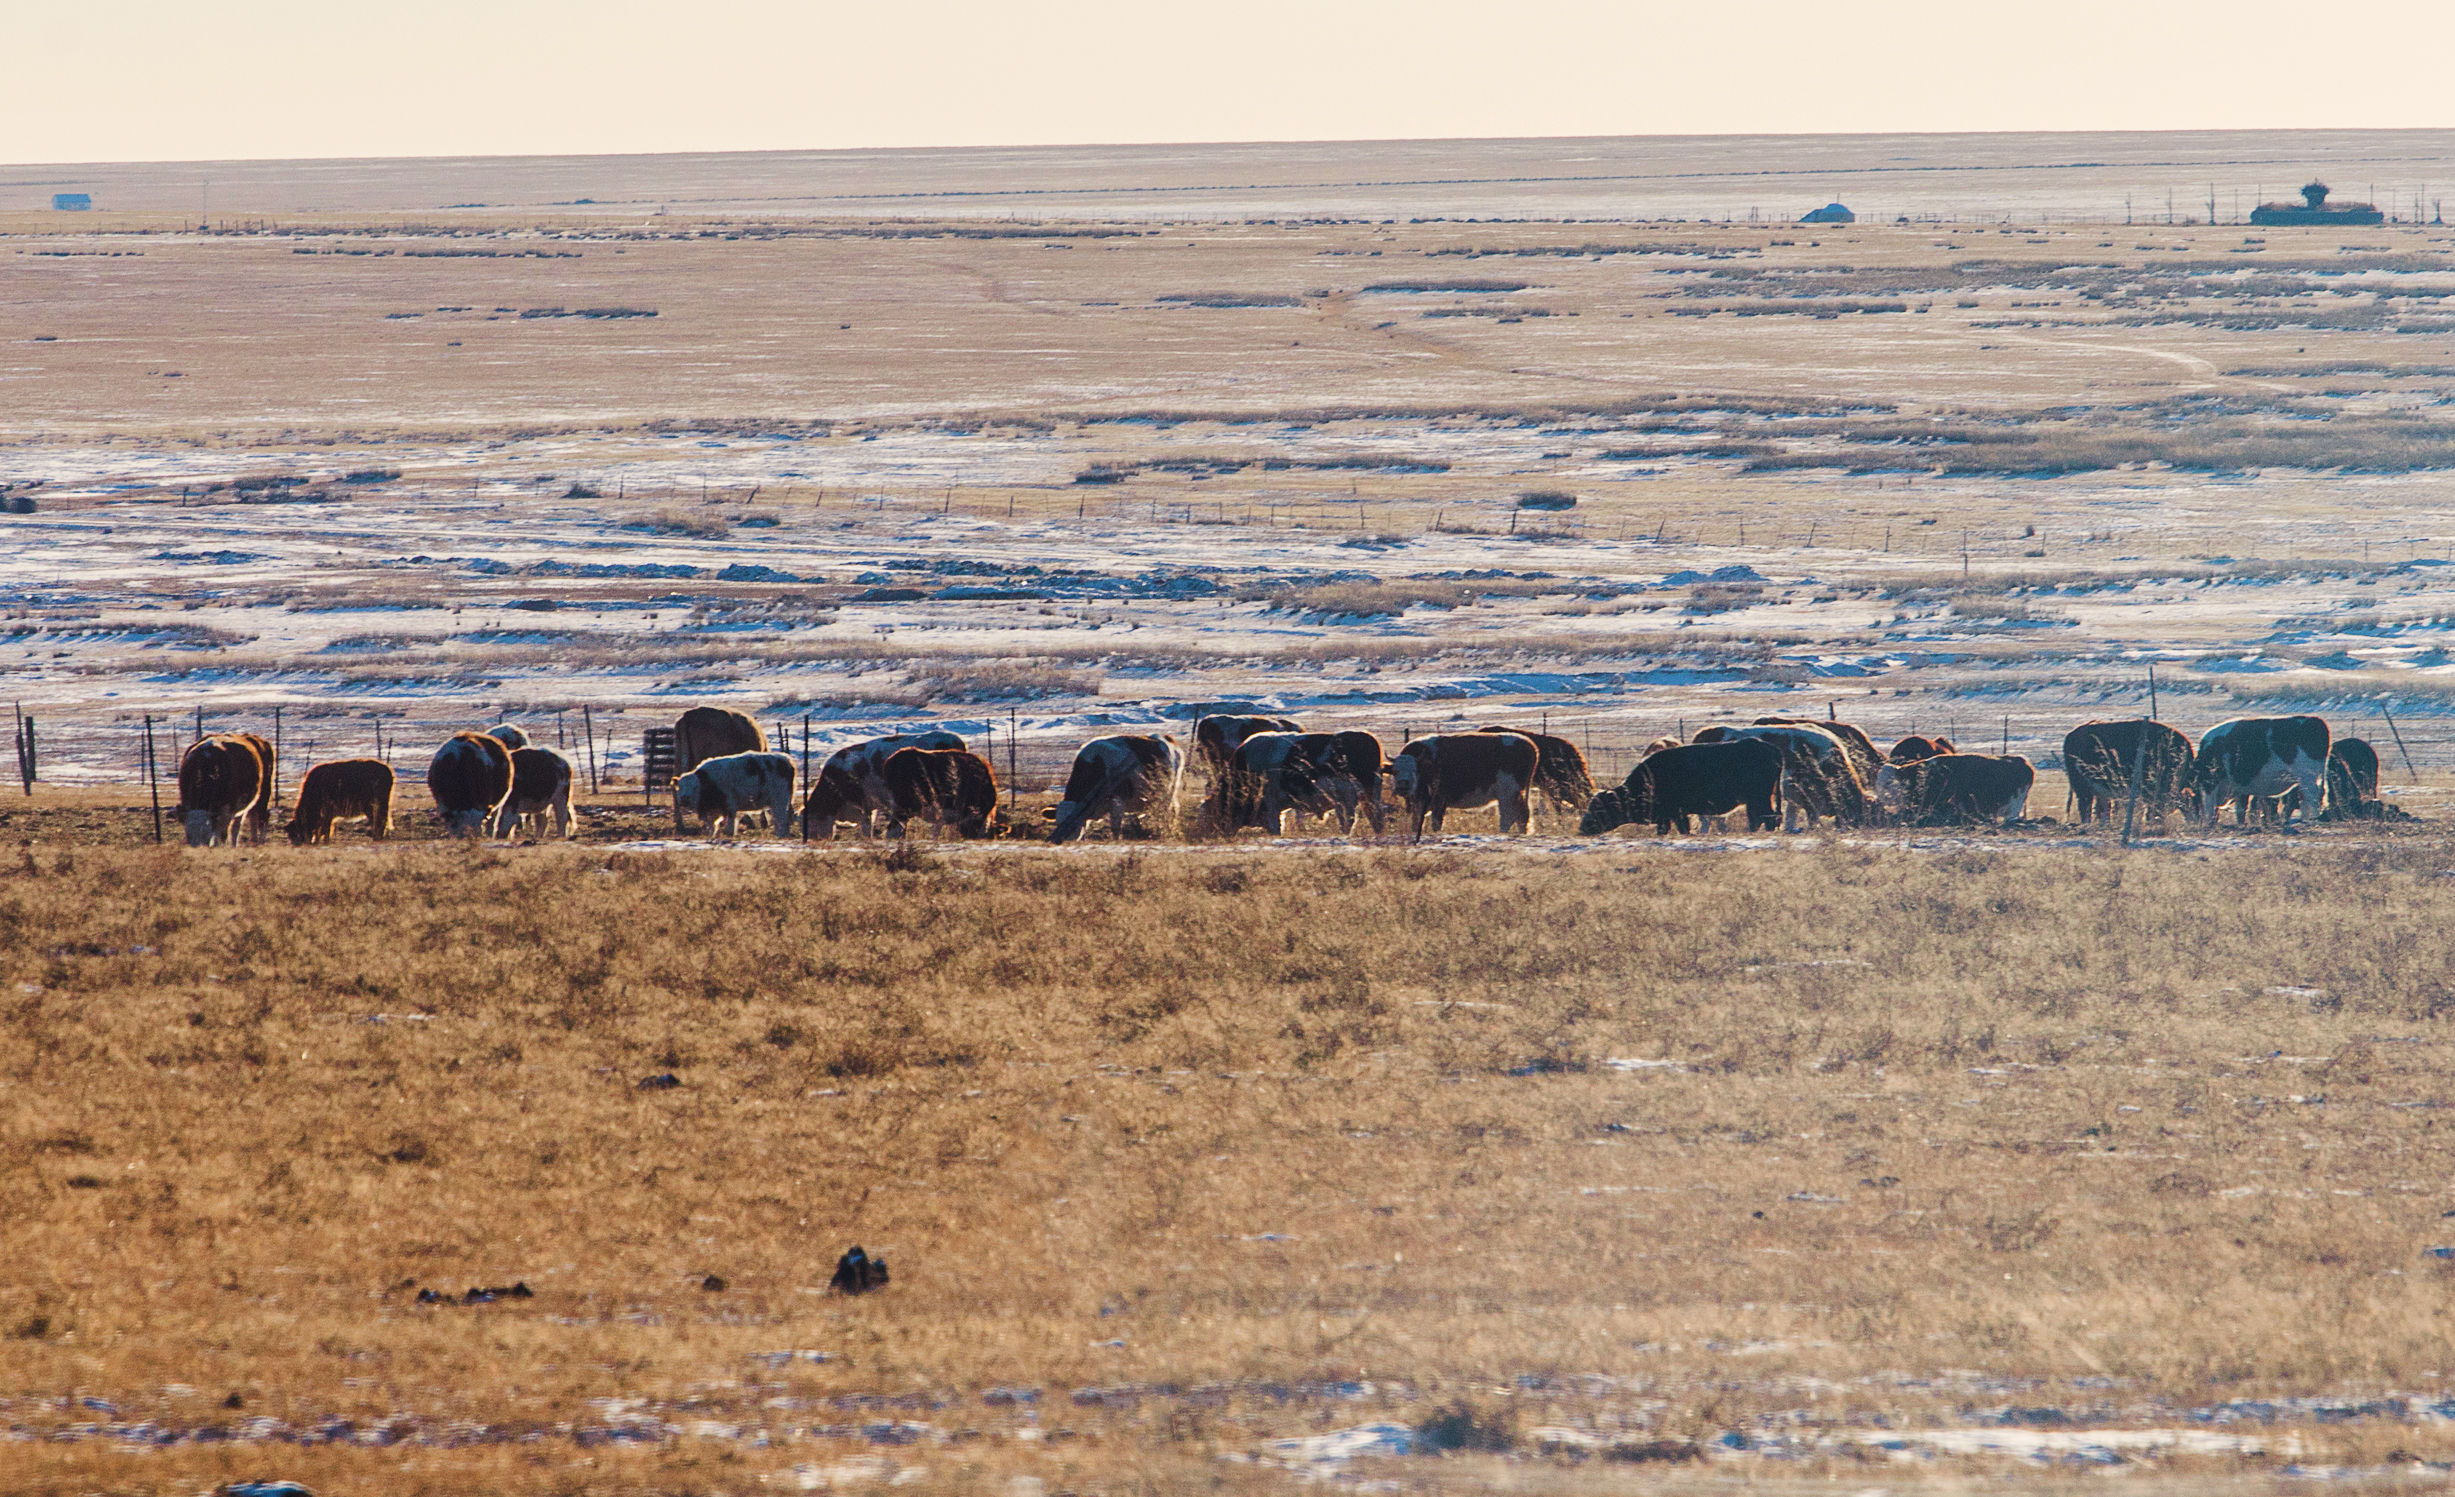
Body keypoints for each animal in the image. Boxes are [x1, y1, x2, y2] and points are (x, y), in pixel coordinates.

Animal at [1394, 731, 1522, 839]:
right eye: (1395, 771)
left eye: (1414, 770)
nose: (1403, 785)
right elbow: (1416, 821)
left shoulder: (1439, 801)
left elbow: (1436, 822)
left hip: (1507, 797)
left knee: (1508, 818)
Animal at [2199, 711, 2327, 829]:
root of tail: (2316, 720)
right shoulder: (2240, 787)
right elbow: (2241, 809)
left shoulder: (2212, 783)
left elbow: (2211, 807)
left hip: (2307, 777)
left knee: (2312, 799)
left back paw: (2313, 820)